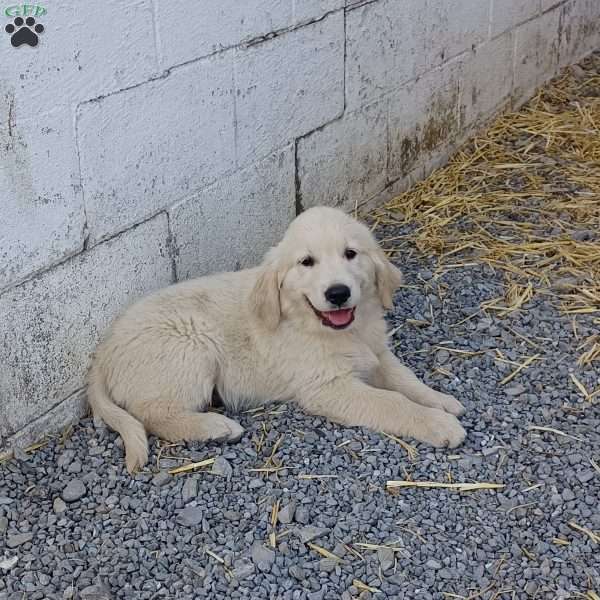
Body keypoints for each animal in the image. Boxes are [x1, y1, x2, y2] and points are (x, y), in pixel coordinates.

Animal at [86, 206, 466, 474]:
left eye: (351, 254)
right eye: (306, 262)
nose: (338, 293)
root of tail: (102, 354)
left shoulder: (377, 353)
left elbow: (407, 380)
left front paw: (442, 401)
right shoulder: (328, 386)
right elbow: (392, 402)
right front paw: (439, 424)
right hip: (191, 345)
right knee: (153, 414)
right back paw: (215, 427)